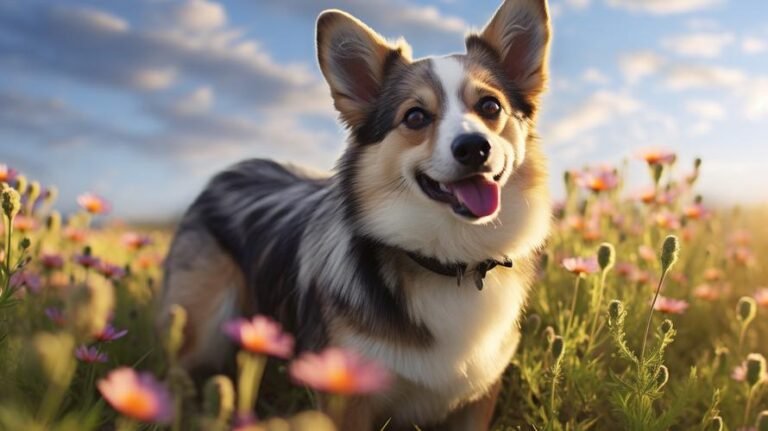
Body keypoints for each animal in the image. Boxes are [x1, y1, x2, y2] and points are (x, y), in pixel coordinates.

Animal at [160, 1, 552, 430]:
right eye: (415, 117)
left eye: (490, 106)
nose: (474, 147)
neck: (450, 262)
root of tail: (235, 167)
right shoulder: (346, 394)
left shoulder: (479, 396)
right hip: (201, 326)